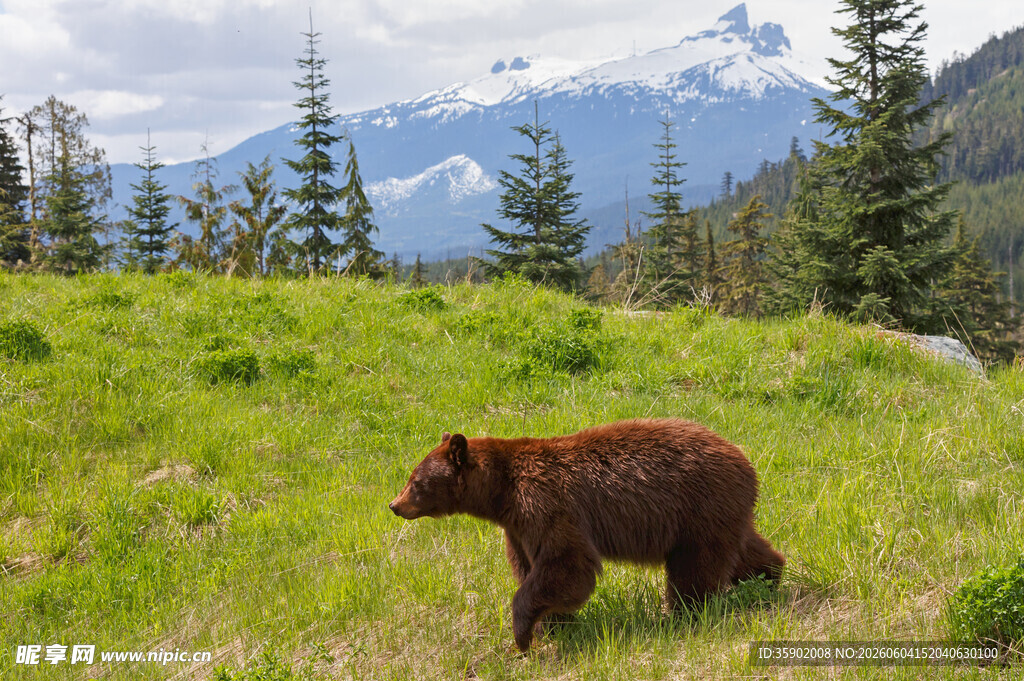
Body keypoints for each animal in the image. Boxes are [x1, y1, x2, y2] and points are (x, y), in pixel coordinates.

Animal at [388, 418, 784, 652]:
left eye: (416, 482)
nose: (394, 505)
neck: (501, 493)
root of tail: (744, 459)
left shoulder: (545, 504)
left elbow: (566, 564)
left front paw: (524, 634)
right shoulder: (516, 527)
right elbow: (530, 568)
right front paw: (553, 627)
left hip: (697, 509)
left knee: (695, 570)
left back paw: (684, 615)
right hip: (721, 512)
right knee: (743, 550)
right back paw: (769, 578)